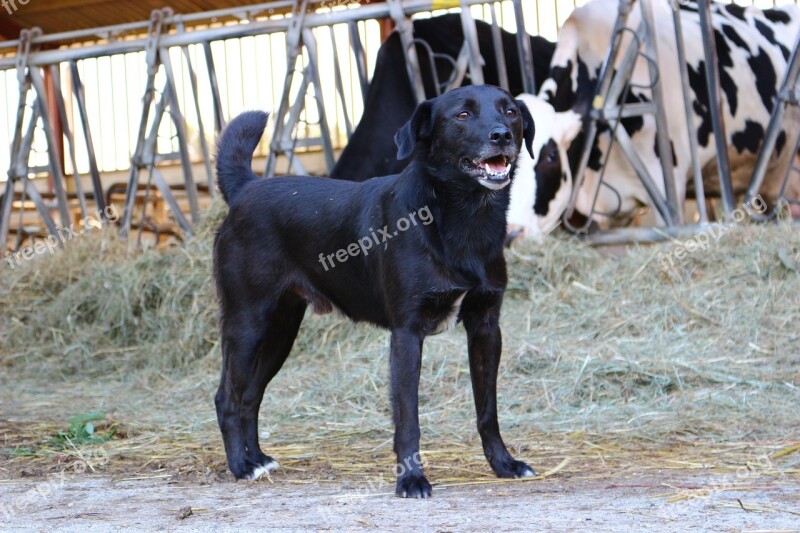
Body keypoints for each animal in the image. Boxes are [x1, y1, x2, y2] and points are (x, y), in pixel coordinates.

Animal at [216, 83, 536, 494]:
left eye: (510, 111)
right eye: (462, 115)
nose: (502, 135)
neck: (461, 216)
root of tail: (246, 188)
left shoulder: (485, 327)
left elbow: (488, 410)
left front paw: (503, 463)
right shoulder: (406, 333)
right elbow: (408, 418)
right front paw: (411, 480)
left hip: (281, 330)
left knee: (251, 396)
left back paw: (257, 459)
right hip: (247, 324)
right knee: (227, 398)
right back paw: (241, 465)